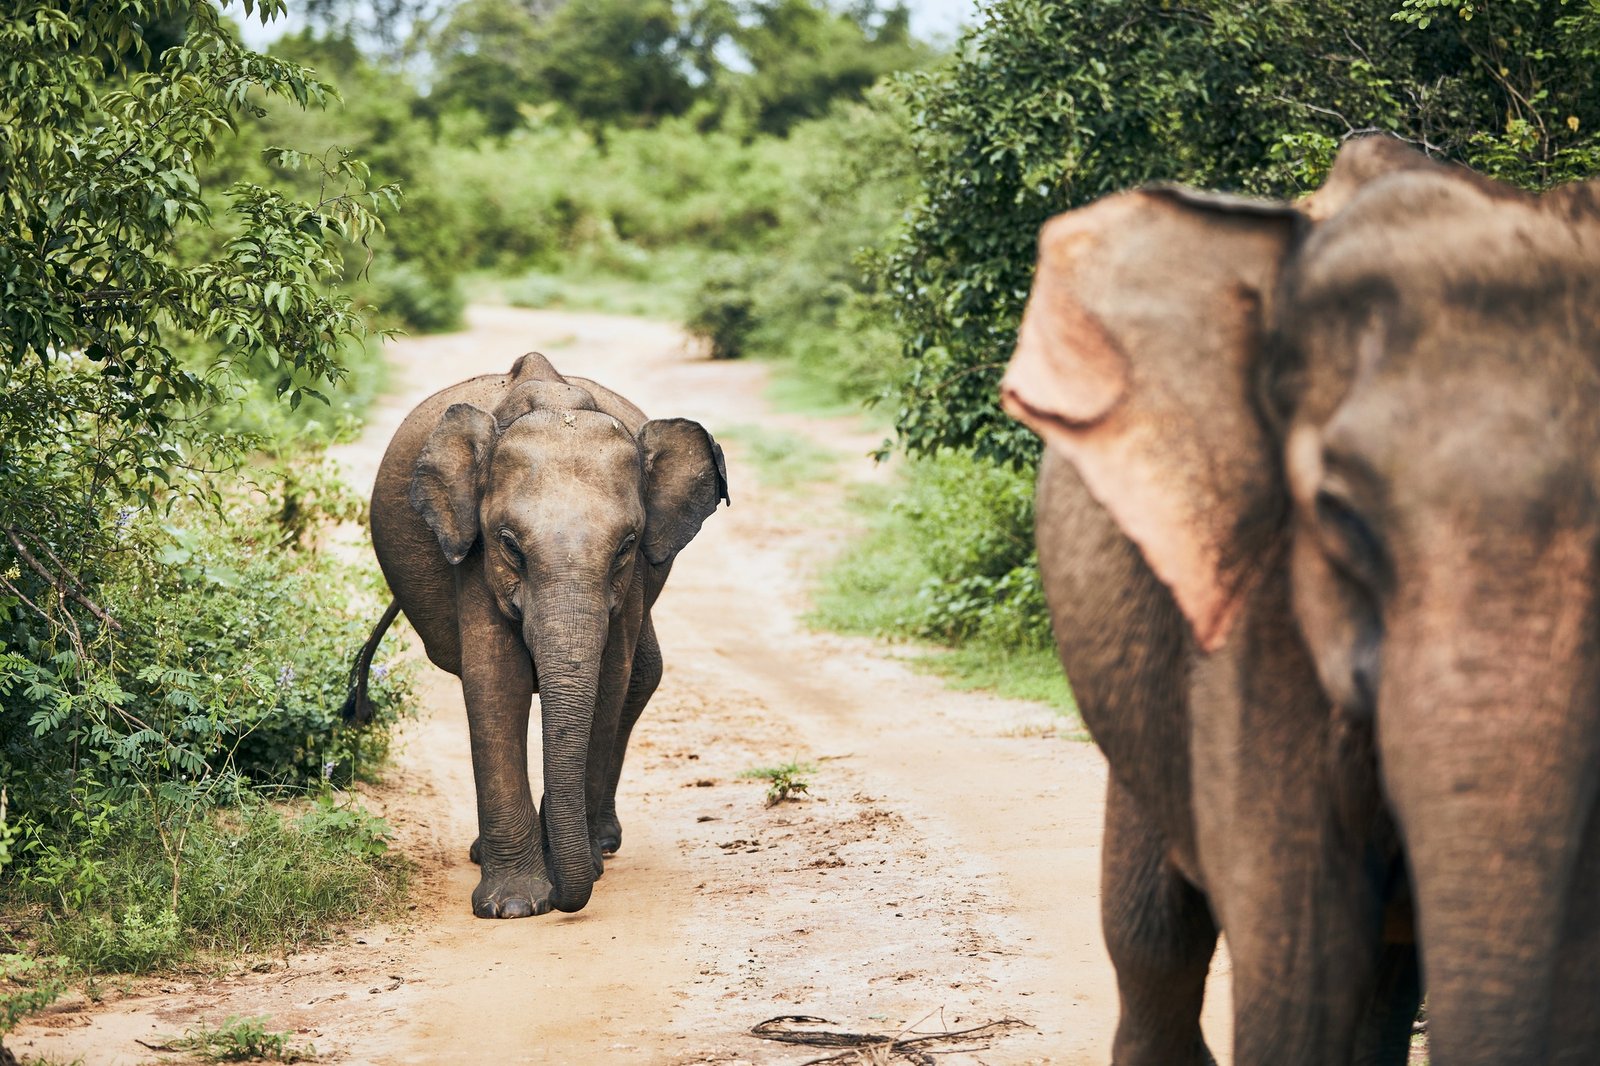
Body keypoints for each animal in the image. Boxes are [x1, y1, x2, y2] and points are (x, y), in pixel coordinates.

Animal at [344, 352, 728, 918]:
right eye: (510, 545)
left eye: (626, 545)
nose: (567, 897)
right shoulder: (474, 554)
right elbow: (495, 679)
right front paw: (513, 906)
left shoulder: (634, 576)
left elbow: (609, 680)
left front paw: (578, 871)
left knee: (642, 677)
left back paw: (601, 844)